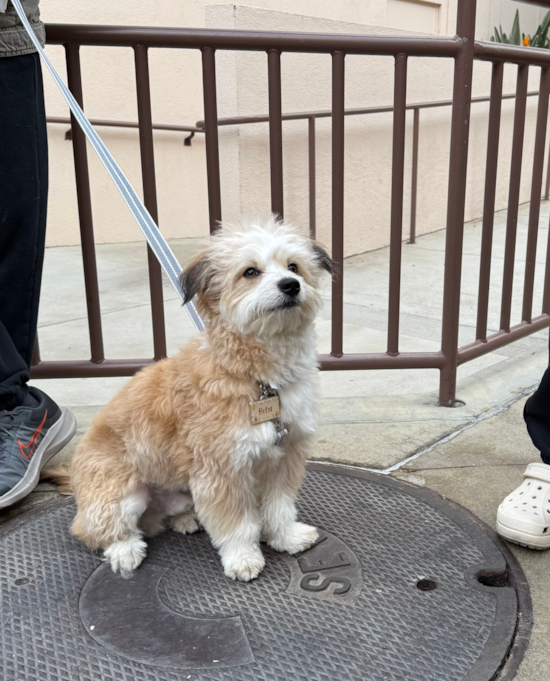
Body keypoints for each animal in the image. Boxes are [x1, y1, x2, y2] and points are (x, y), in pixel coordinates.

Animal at [48, 216, 332, 580]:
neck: (260, 380)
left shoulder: (284, 457)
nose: (291, 285)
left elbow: (279, 507)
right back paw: (125, 550)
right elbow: (237, 524)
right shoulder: (222, 468)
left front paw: (287, 537)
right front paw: (243, 558)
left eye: (294, 266)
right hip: (120, 495)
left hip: (181, 491)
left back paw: (185, 519)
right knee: (97, 531)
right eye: (250, 272)